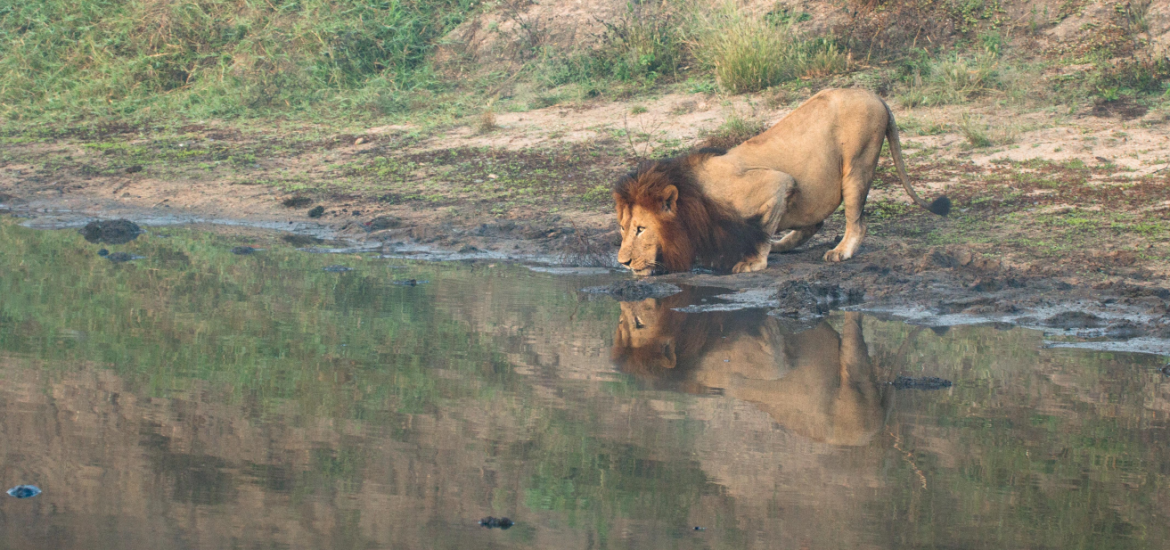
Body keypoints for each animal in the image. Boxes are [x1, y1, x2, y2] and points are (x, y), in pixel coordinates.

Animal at [613, 88, 950, 277]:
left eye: (641, 229)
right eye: (622, 228)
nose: (622, 263)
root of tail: (877, 96)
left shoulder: (776, 183)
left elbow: (761, 231)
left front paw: (753, 262)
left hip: (857, 164)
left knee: (857, 221)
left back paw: (841, 251)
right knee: (814, 222)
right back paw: (784, 245)